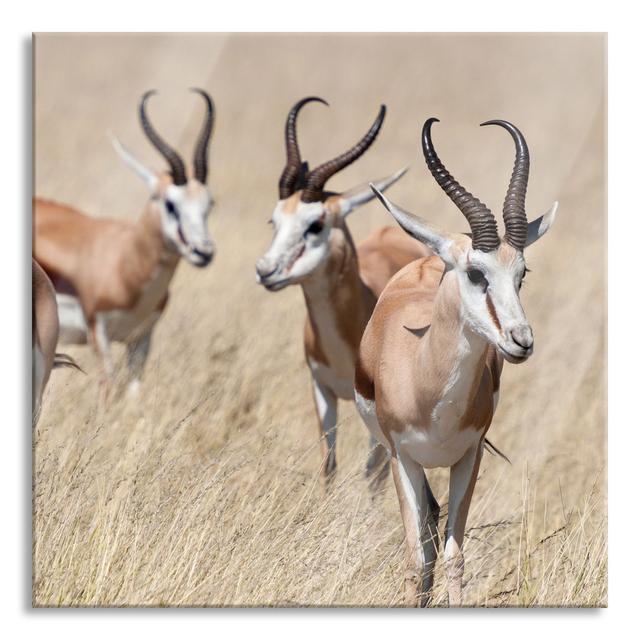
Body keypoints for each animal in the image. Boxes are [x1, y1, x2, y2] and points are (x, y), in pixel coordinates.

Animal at [33, 87, 215, 392]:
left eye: (209, 203)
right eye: (170, 204)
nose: (203, 252)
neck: (126, 264)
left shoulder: (141, 337)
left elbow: (133, 393)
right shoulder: (98, 332)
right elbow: (108, 387)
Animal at [255, 97, 430, 482]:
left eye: (315, 223)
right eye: (274, 220)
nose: (265, 270)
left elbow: (373, 472)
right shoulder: (321, 389)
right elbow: (328, 465)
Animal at [352, 119, 556, 604]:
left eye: (522, 274)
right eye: (476, 273)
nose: (521, 341)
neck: (426, 380)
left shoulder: (469, 455)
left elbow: (455, 558)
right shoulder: (401, 458)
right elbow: (415, 559)